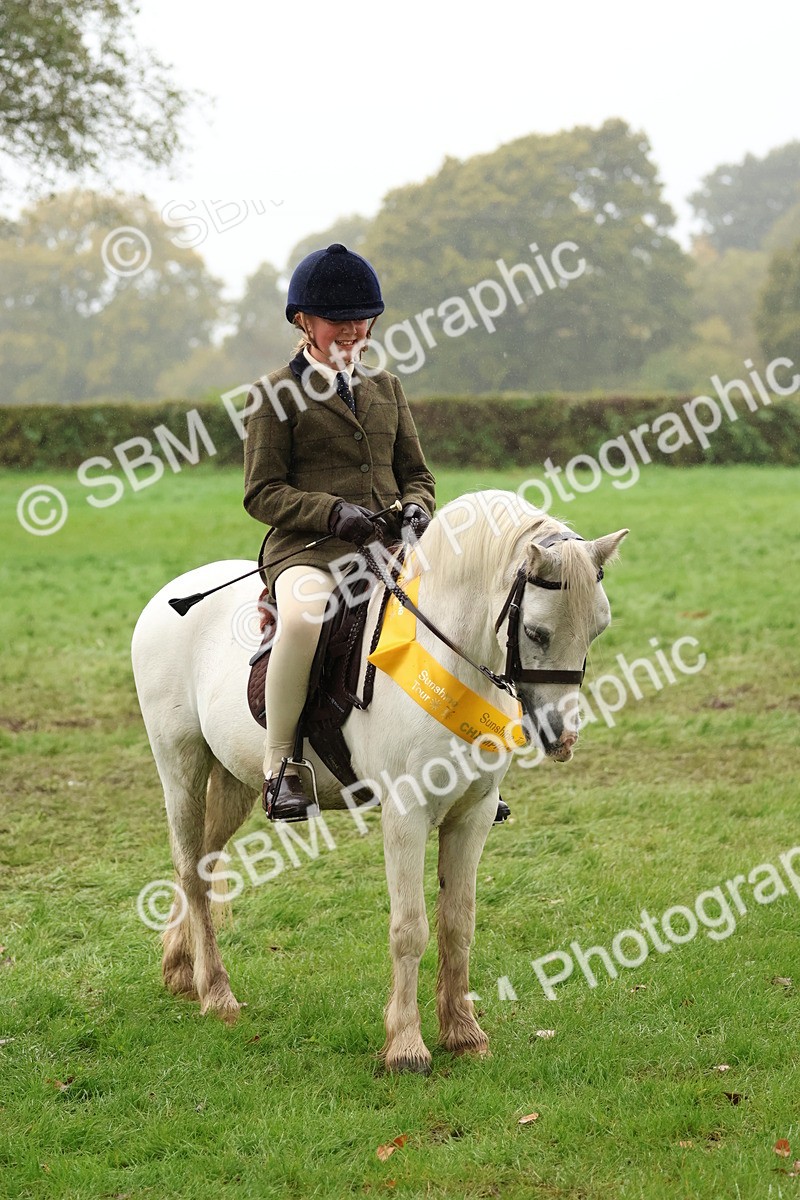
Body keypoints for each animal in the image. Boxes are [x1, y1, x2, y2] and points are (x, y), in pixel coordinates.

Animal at [131, 489, 628, 1073]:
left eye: (598, 627)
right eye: (536, 632)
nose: (561, 738)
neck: (448, 657)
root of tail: (168, 596)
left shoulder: (474, 813)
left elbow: (458, 923)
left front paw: (464, 1034)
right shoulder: (406, 814)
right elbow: (411, 928)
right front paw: (407, 1047)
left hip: (235, 779)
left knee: (204, 866)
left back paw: (180, 969)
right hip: (182, 766)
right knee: (190, 869)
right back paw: (216, 994)